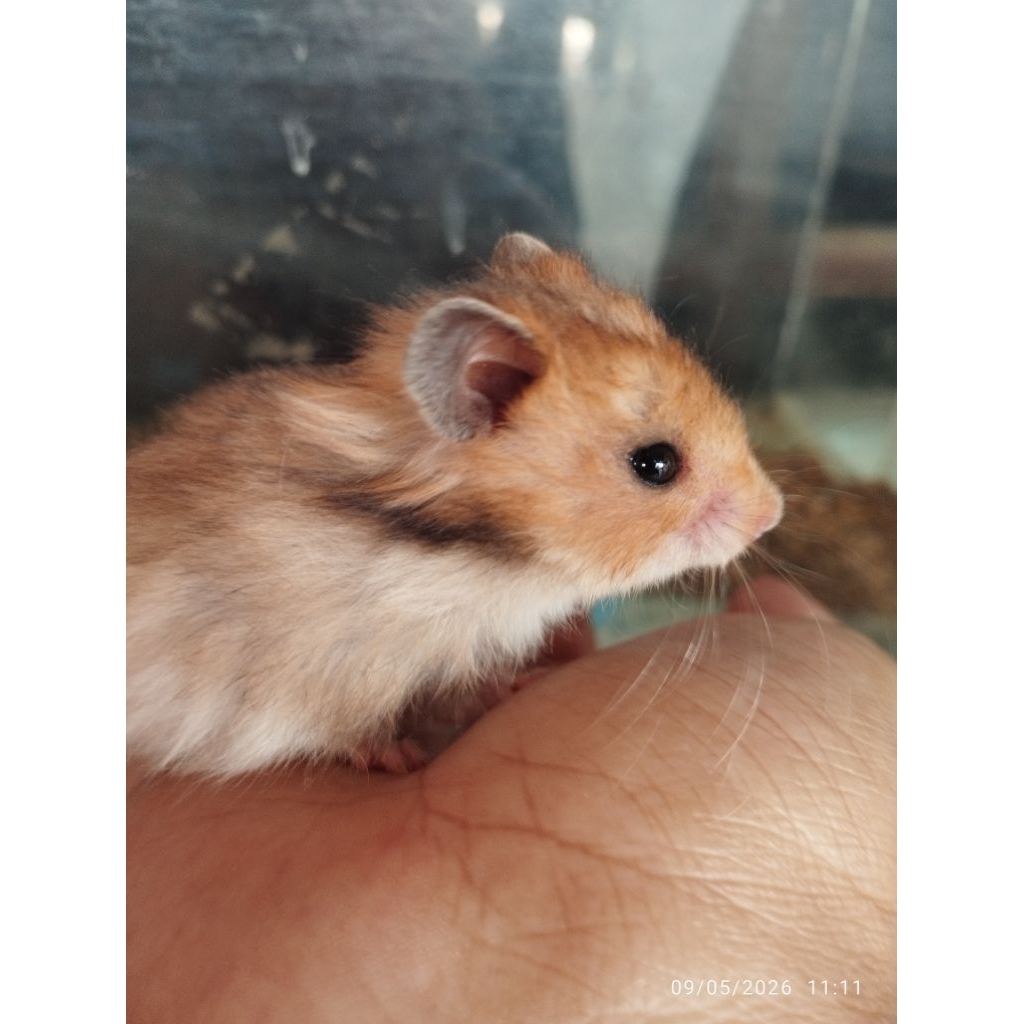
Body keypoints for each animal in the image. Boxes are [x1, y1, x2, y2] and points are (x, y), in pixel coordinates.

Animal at [127, 233, 782, 776]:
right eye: (655, 464)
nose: (772, 514)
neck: (467, 554)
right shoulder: (315, 680)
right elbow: (349, 728)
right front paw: (399, 757)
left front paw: (519, 685)